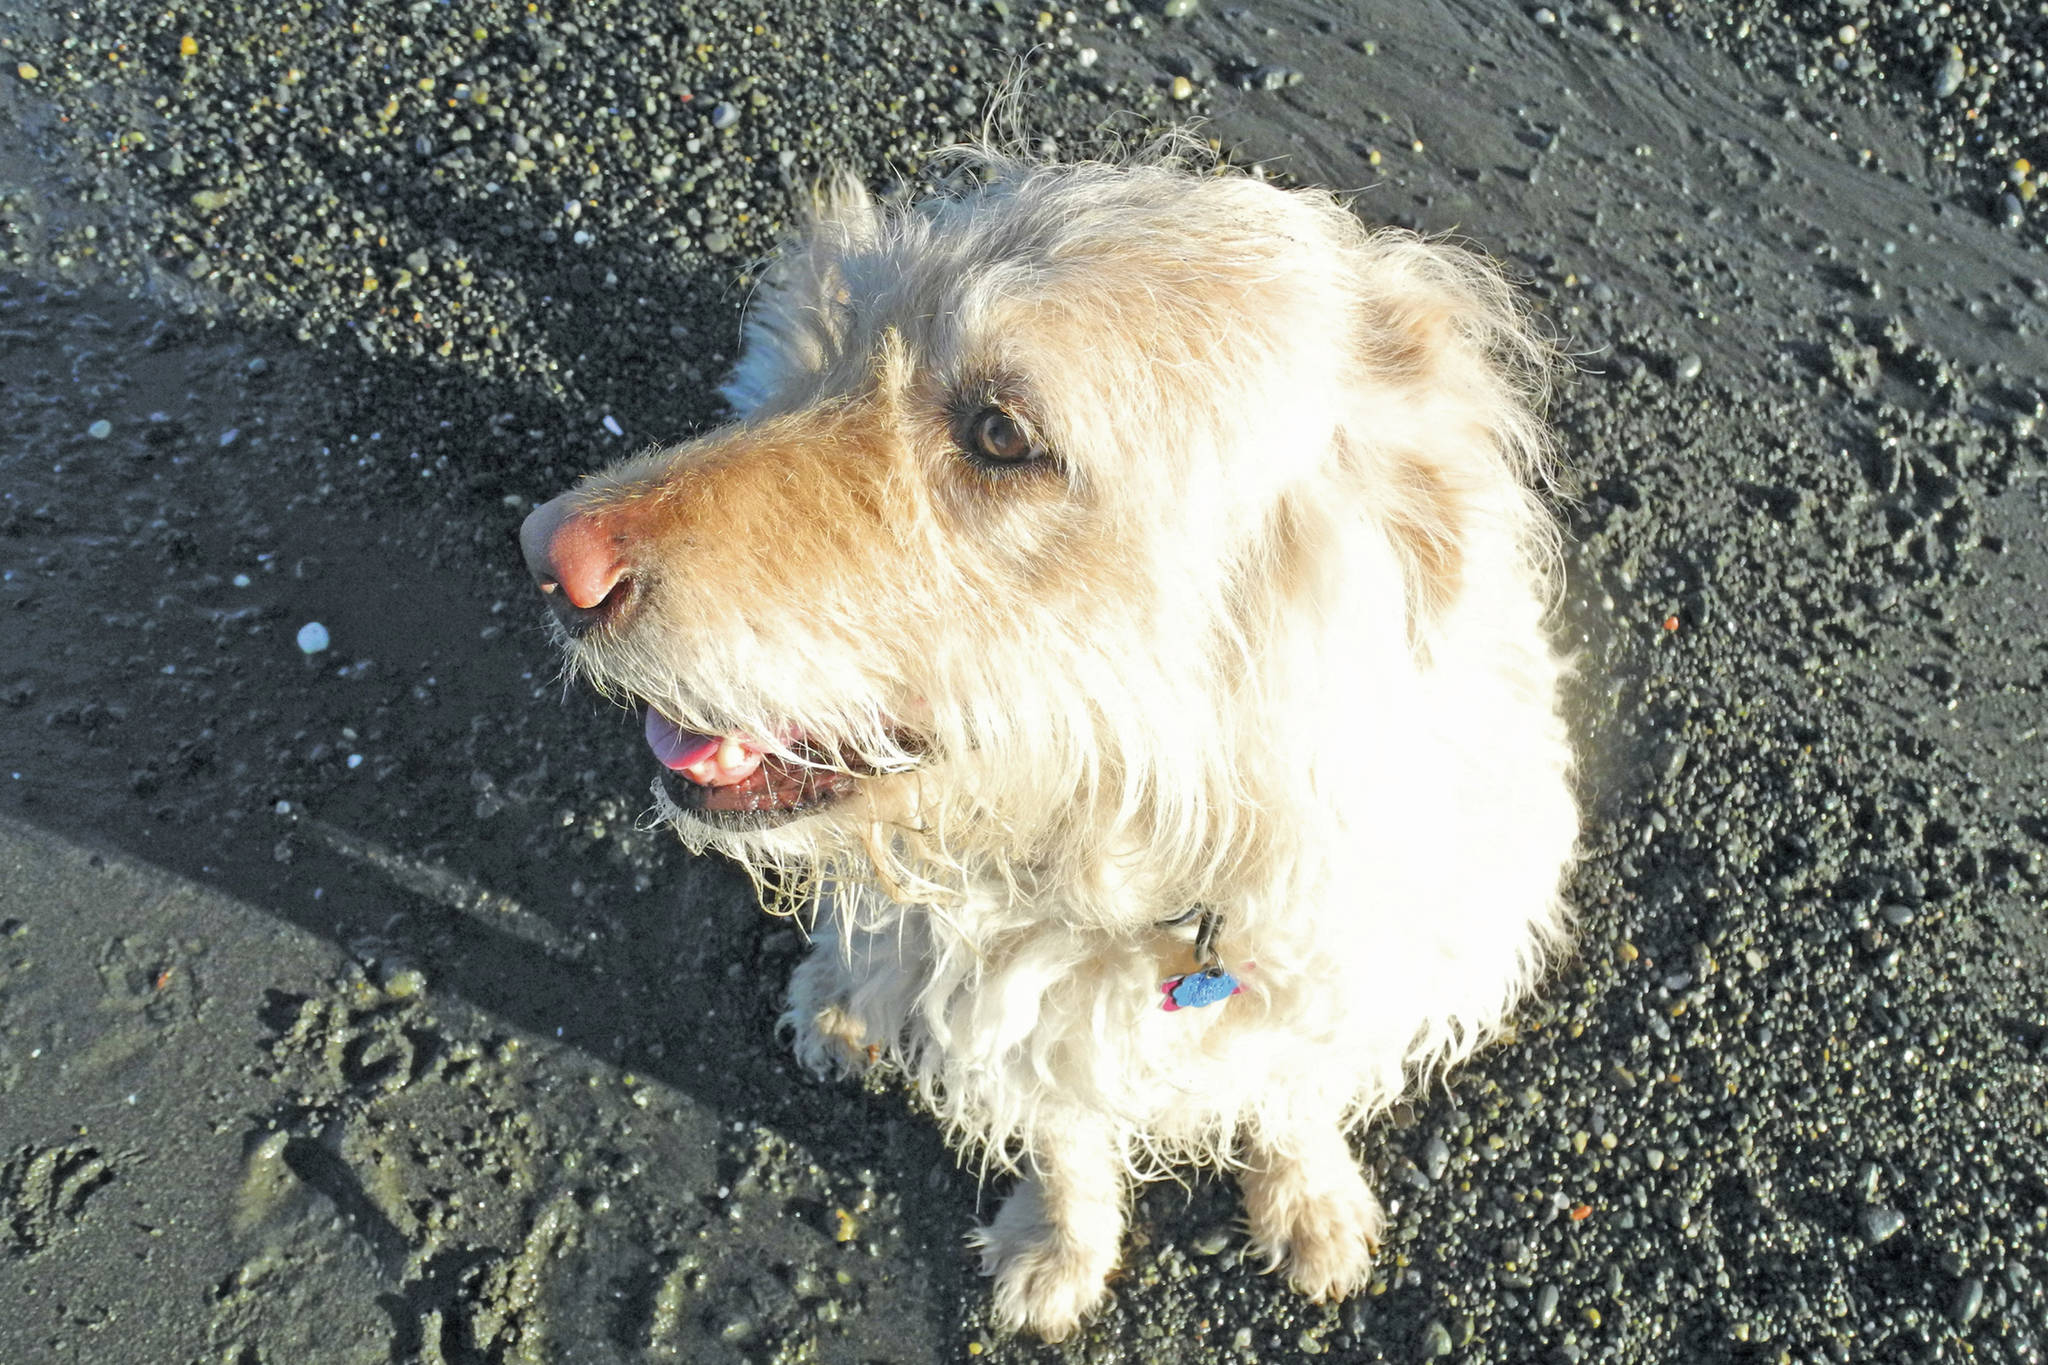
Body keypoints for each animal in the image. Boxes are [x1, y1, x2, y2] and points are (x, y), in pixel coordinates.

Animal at [520, 149, 1572, 1342]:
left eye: (1000, 433)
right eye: (832, 357)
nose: (547, 557)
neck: (1164, 883)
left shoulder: (1349, 974)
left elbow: (1294, 1093)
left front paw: (1308, 1202)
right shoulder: (1021, 1029)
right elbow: (1067, 1143)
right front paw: (1057, 1252)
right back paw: (837, 1003)